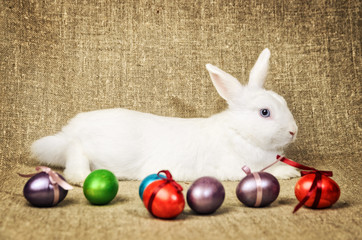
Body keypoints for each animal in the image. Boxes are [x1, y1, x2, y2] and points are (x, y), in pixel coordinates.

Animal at [31, 47, 298, 185]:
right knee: (75, 156)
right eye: (265, 112)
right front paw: (288, 173)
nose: (294, 131)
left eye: (283, 102)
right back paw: (82, 176)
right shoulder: (236, 166)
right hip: (97, 149)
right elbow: (264, 172)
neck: (239, 132)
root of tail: (71, 131)